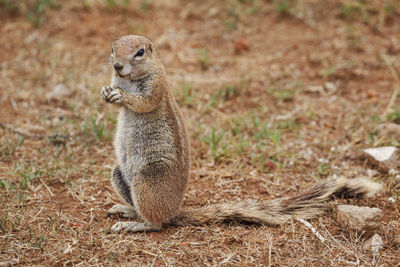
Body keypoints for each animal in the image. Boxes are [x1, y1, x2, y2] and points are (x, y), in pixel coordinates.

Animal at [101, 35, 382, 232]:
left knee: (157, 223)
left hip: (147, 181)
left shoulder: (156, 86)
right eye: (112, 48)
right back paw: (127, 210)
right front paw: (106, 92)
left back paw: (135, 224)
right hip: (119, 174)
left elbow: (144, 101)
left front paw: (122, 96)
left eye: (139, 52)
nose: (117, 66)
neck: (129, 79)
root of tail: (175, 212)